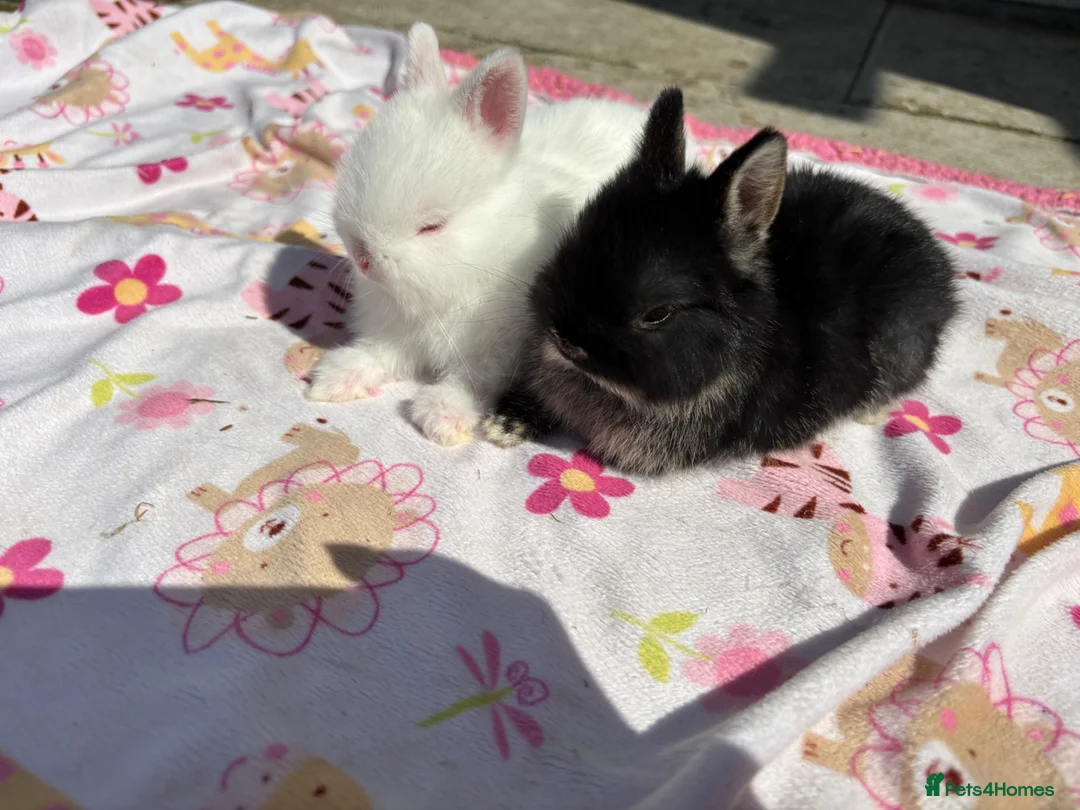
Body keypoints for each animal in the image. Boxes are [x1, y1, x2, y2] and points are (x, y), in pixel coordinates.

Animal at [307, 23, 697, 447]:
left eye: (433, 225)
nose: (363, 257)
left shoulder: (497, 349)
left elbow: (474, 380)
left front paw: (442, 416)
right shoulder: (396, 335)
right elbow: (379, 355)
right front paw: (332, 377)